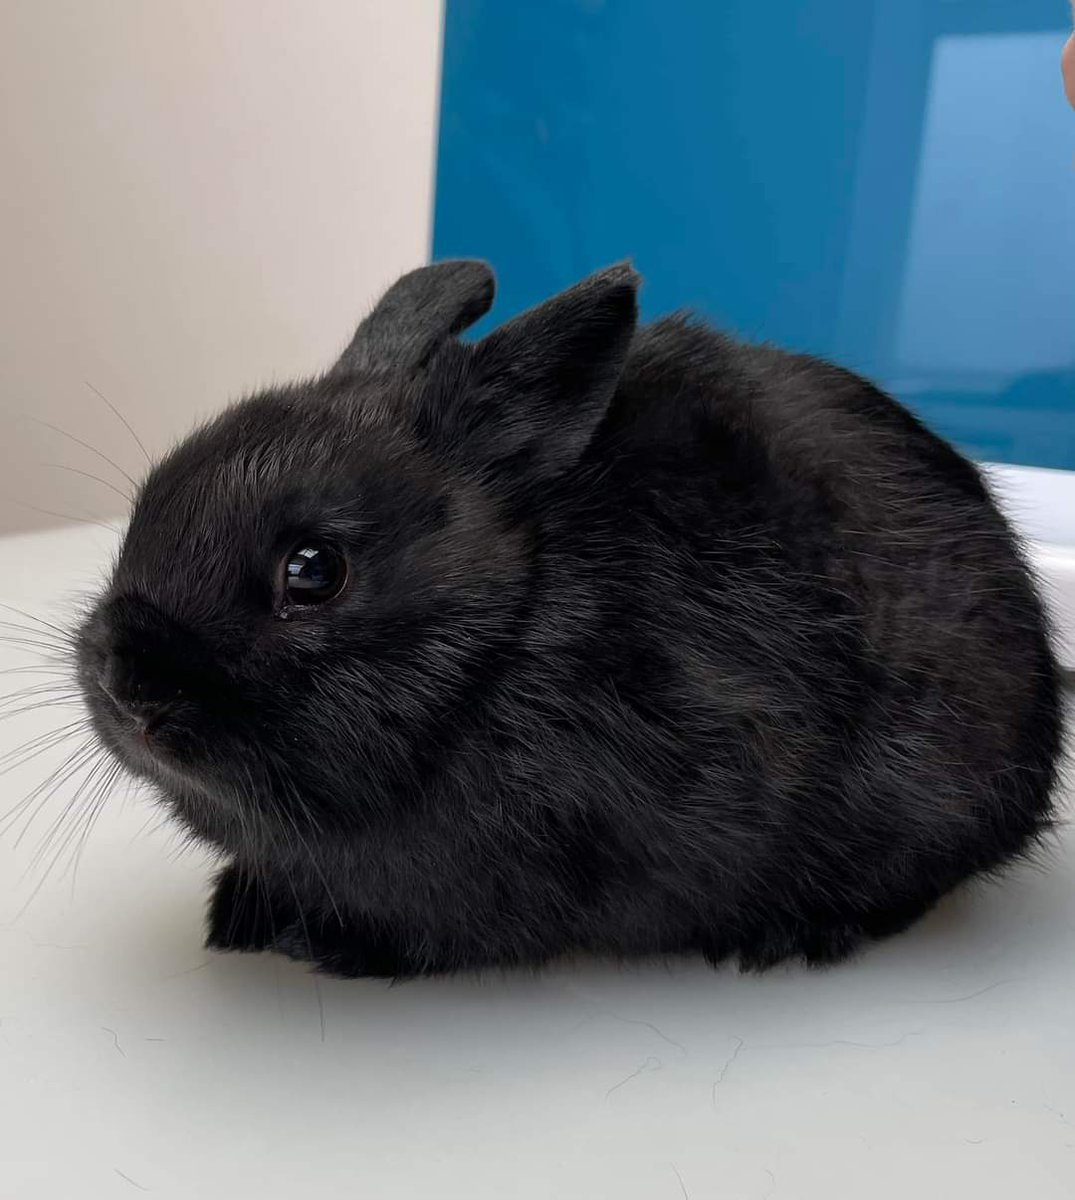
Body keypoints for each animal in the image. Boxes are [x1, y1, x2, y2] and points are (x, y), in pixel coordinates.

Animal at [75, 259, 1062, 978]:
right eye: (153, 497)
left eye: (313, 571)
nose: (127, 686)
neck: (504, 639)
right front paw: (238, 911)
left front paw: (325, 944)